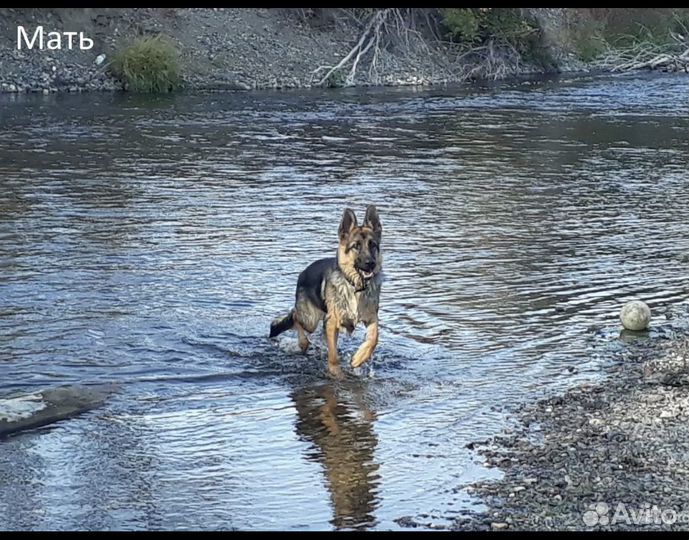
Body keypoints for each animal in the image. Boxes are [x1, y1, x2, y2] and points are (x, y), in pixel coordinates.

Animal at [268, 205, 384, 378]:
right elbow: (333, 355)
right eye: (356, 246)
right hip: (310, 319)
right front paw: (336, 372)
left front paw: (359, 358)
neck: (355, 287)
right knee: (295, 317)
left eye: (373, 245)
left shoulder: (371, 317)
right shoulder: (332, 322)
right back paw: (303, 343)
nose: (370, 263)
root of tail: (303, 272)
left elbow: (374, 338)